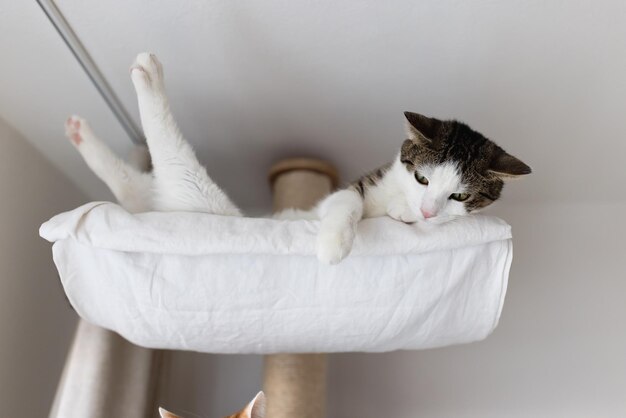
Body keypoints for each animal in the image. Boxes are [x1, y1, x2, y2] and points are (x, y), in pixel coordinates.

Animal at [66, 53, 528, 264]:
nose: (430, 211)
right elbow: (347, 201)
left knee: (140, 187)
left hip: (188, 197)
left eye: (460, 197)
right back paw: (145, 76)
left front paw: (409, 218)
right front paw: (334, 243)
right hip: (194, 191)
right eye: (423, 180)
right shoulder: (354, 189)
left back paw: (85, 130)